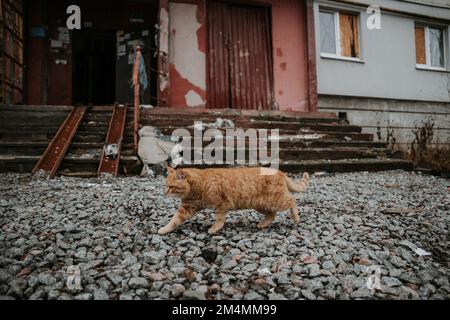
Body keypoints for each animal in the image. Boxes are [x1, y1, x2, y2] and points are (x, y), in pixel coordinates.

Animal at [158, 168, 310, 235]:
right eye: (165, 185)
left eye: (171, 186)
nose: (164, 192)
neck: (199, 184)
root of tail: (279, 171)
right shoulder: (187, 208)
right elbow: (174, 220)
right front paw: (165, 229)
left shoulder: (221, 204)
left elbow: (219, 219)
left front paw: (214, 229)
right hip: (260, 204)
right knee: (272, 214)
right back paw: (262, 224)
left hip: (275, 200)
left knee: (292, 200)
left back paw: (296, 218)